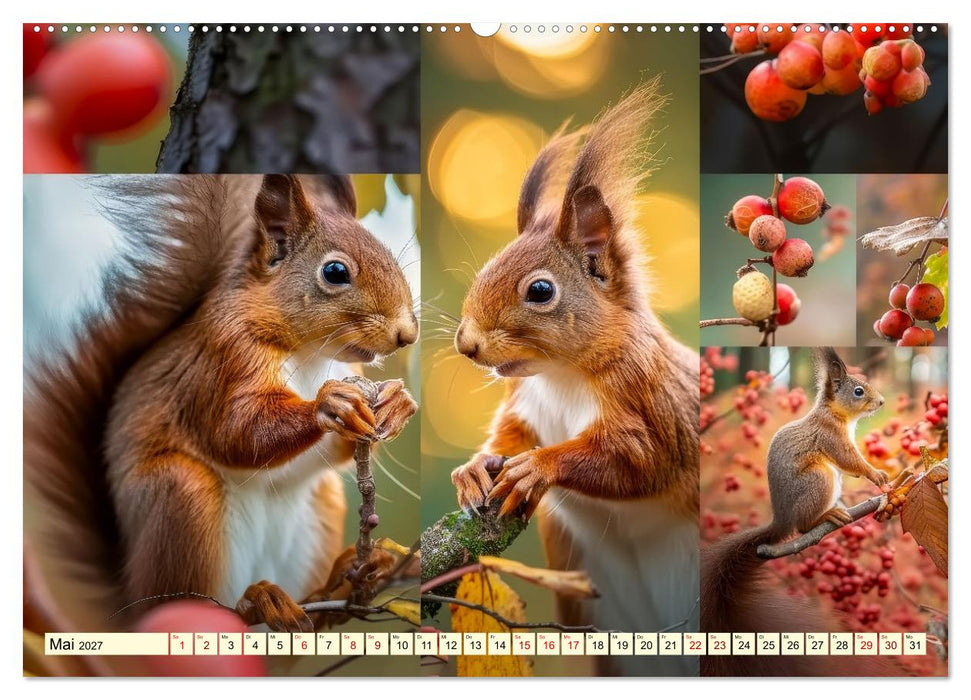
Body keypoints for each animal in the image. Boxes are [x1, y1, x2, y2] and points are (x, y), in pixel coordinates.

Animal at [24, 174, 418, 634]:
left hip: (322, 505)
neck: (308, 353)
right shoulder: (222, 358)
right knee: (188, 598)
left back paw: (335, 588)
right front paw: (330, 403)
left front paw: (397, 403)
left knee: (311, 617)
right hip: (182, 498)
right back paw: (256, 602)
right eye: (335, 272)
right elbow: (236, 431)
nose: (407, 334)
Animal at [449, 80, 700, 676]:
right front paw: (473, 470)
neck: (562, 376)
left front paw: (538, 467)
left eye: (540, 291)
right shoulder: (525, 406)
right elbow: (507, 438)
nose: (467, 343)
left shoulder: (654, 406)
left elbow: (637, 459)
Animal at [701, 347, 900, 676]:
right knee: (803, 527)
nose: (882, 402)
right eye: (858, 391)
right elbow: (850, 460)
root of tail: (781, 519)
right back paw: (827, 516)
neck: (835, 415)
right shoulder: (831, 437)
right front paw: (876, 474)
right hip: (819, 479)